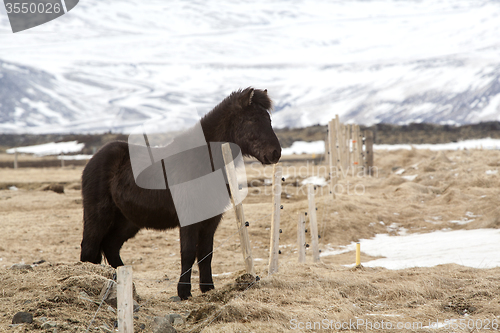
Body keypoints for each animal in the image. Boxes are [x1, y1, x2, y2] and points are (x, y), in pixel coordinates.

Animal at [80, 87, 280, 298]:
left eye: (268, 119)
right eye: (252, 119)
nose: (276, 153)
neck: (202, 161)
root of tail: (94, 159)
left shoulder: (211, 220)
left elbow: (206, 254)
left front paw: (208, 288)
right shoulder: (189, 219)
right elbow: (189, 252)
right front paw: (184, 292)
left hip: (128, 221)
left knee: (110, 246)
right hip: (99, 215)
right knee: (89, 248)